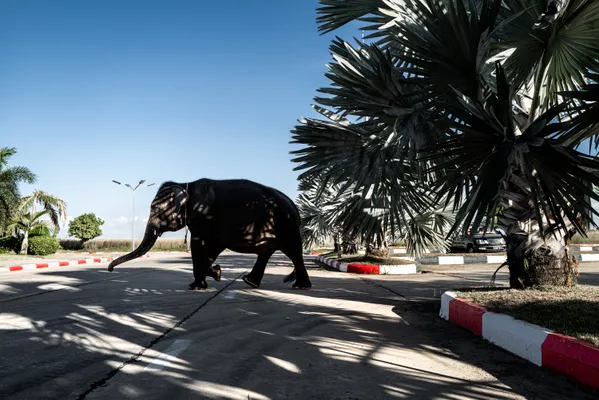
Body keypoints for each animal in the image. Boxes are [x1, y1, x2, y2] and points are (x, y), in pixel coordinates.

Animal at [107, 178, 312, 290]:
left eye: (154, 209)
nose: (109, 270)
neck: (185, 184)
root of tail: (294, 206)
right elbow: (213, 247)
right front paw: (217, 273)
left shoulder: (202, 216)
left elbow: (199, 245)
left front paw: (197, 286)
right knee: (266, 252)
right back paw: (250, 282)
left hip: (286, 225)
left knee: (293, 252)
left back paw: (301, 286)